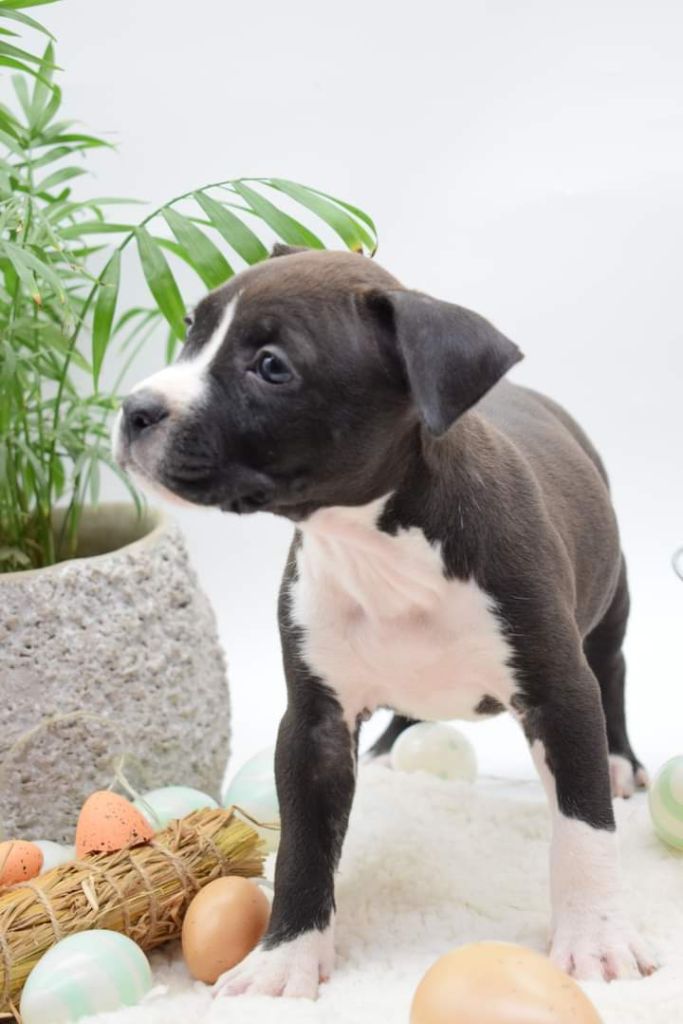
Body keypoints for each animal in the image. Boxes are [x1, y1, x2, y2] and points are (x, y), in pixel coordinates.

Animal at [114, 246, 655, 998]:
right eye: (194, 328)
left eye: (272, 367)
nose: (135, 410)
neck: (376, 546)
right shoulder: (313, 722)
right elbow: (303, 846)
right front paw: (284, 959)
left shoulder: (558, 692)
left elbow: (582, 831)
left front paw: (596, 939)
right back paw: (390, 752)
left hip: (610, 602)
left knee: (612, 670)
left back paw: (618, 760)